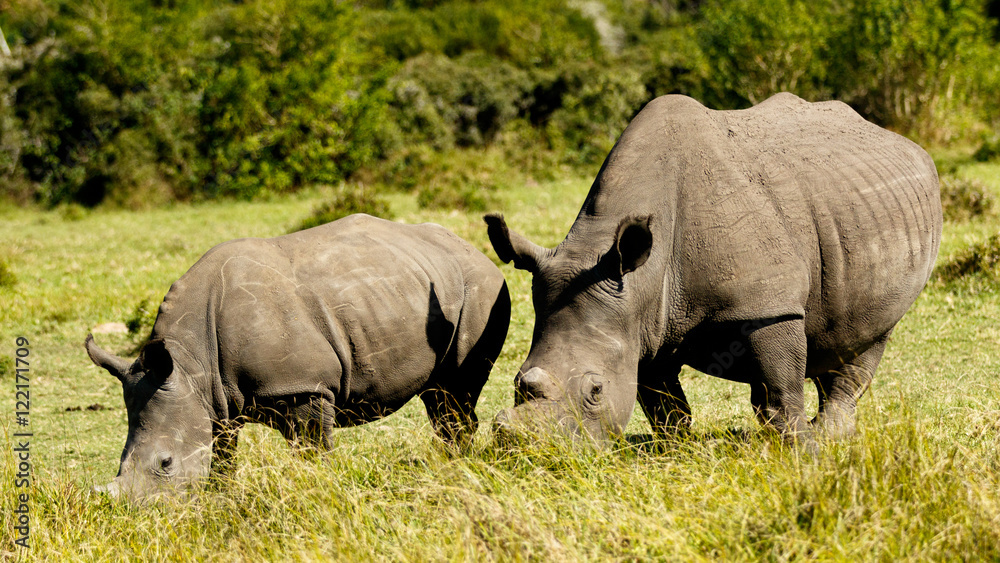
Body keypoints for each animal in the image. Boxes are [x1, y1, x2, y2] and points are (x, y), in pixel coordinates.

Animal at [86, 214, 510, 501]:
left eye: (166, 464)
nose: (137, 513)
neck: (191, 361)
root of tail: (474, 249)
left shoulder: (303, 386)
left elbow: (311, 453)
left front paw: (318, 495)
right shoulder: (214, 401)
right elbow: (221, 455)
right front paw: (220, 498)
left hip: (480, 289)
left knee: (456, 391)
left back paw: (457, 468)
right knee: (439, 395)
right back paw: (451, 466)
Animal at [486, 93, 941, 447]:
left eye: (595, 391)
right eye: (517, 381)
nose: (535, 451)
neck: (640, 280)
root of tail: (903, 141)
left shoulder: (767, 304)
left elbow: (782, 392)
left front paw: (803, 452)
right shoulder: (643, 320)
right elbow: (663, 403)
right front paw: (676, 449)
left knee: (870, 336)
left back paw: (830, 437)